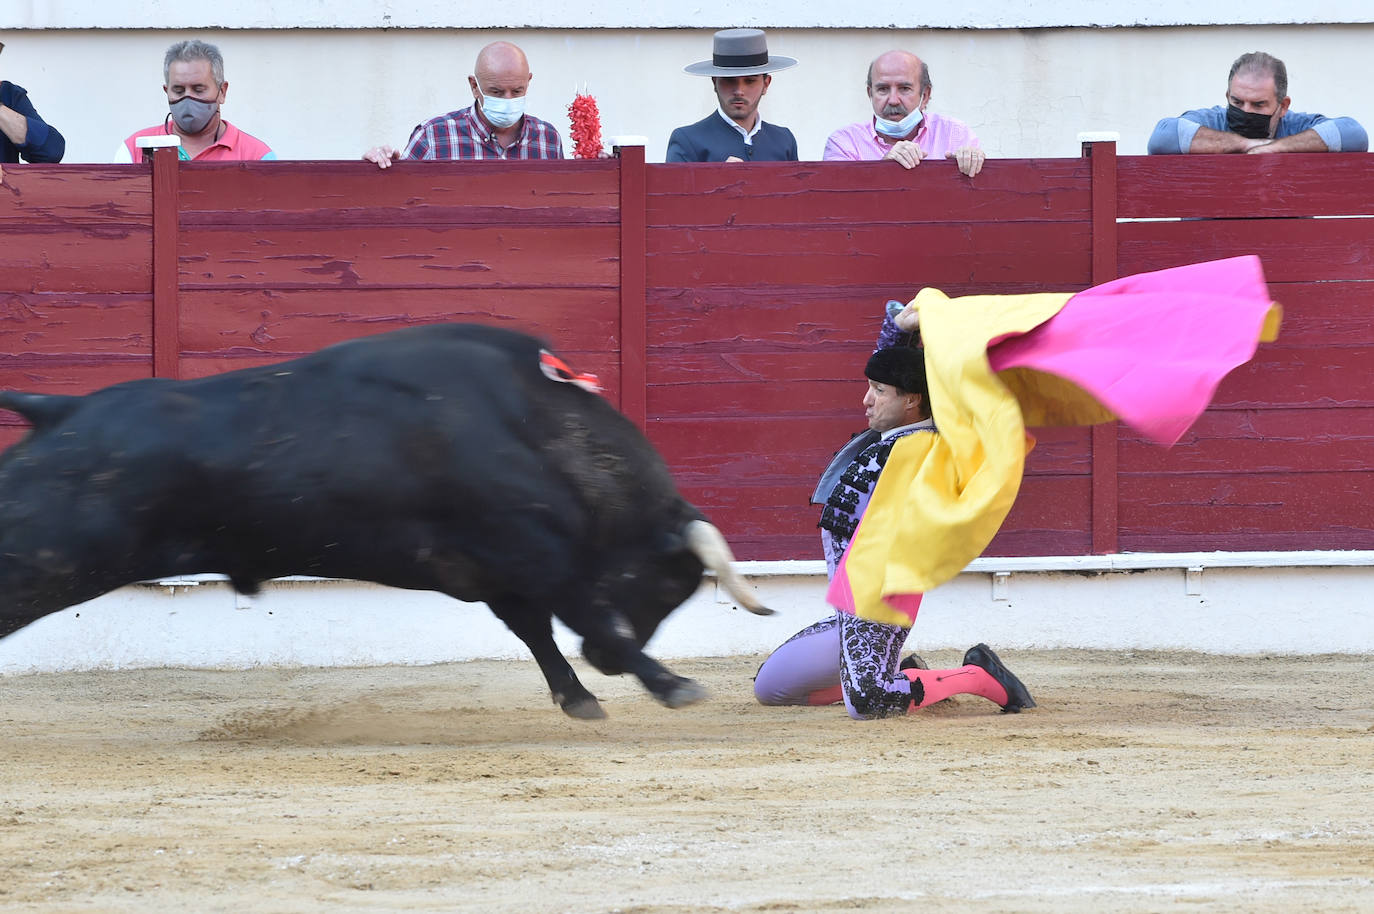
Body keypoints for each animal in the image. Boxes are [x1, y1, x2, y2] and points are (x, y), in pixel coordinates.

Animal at [0, 324, 774, 714]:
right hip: (39, 560)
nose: (609, 666)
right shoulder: (538, 558)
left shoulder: (501, 574)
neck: (537, 428)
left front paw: (579, 696)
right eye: (667, 584)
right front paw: (670, 684)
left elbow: (536, 633)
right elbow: (583, 616)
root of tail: (62, 409)